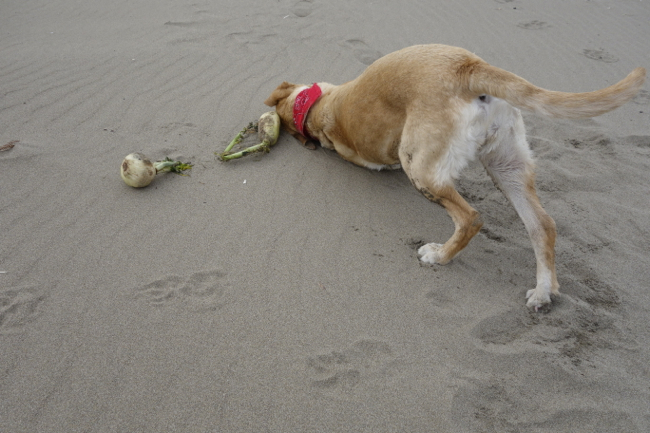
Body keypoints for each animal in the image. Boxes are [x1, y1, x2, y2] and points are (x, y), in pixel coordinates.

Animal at [264, 44, 644, 308]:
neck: (318, 105)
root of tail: (469, 69)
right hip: (507, 163)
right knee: (542, 225)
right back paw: (543, 290)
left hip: (418, 167)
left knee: (471, 217)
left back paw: (439, 256)